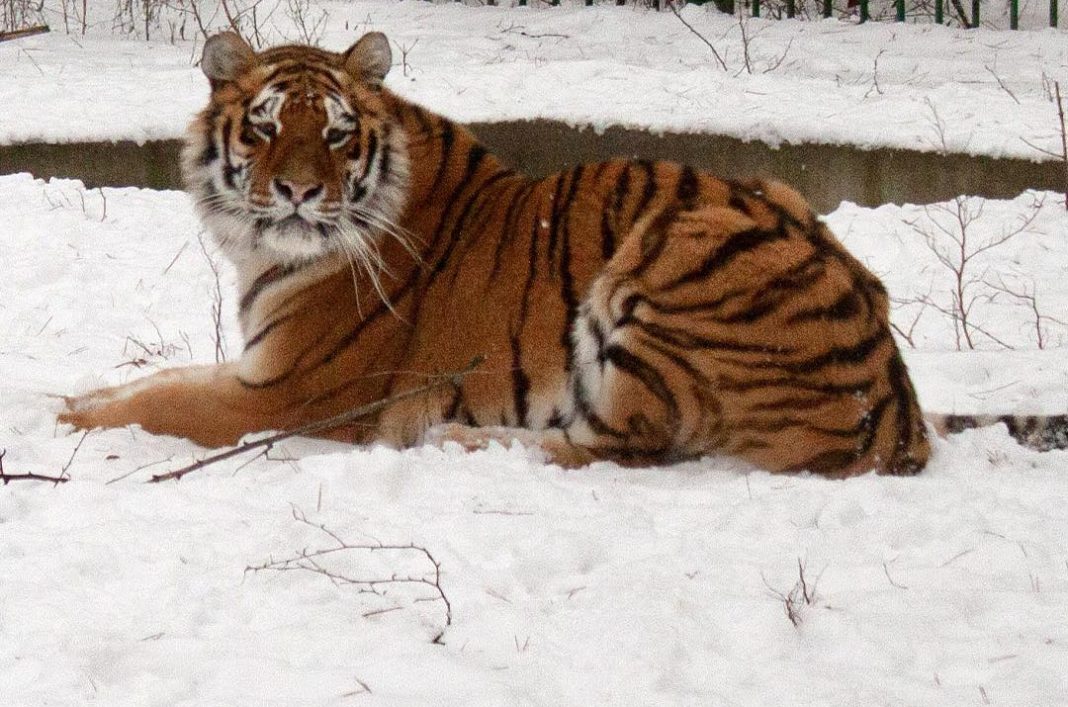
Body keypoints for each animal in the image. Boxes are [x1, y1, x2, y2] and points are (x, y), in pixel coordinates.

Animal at [58, 31, 1067, 478]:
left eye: (338, 134)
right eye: (266, 129)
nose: (302, 192)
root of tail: (899, 406)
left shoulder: (288, 392)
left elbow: (158, 402)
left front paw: (64, 418)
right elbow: (142, 381)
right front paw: (67, 394)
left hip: (671, 248)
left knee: (623, 445)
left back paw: (455, 436)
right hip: (770, 196)